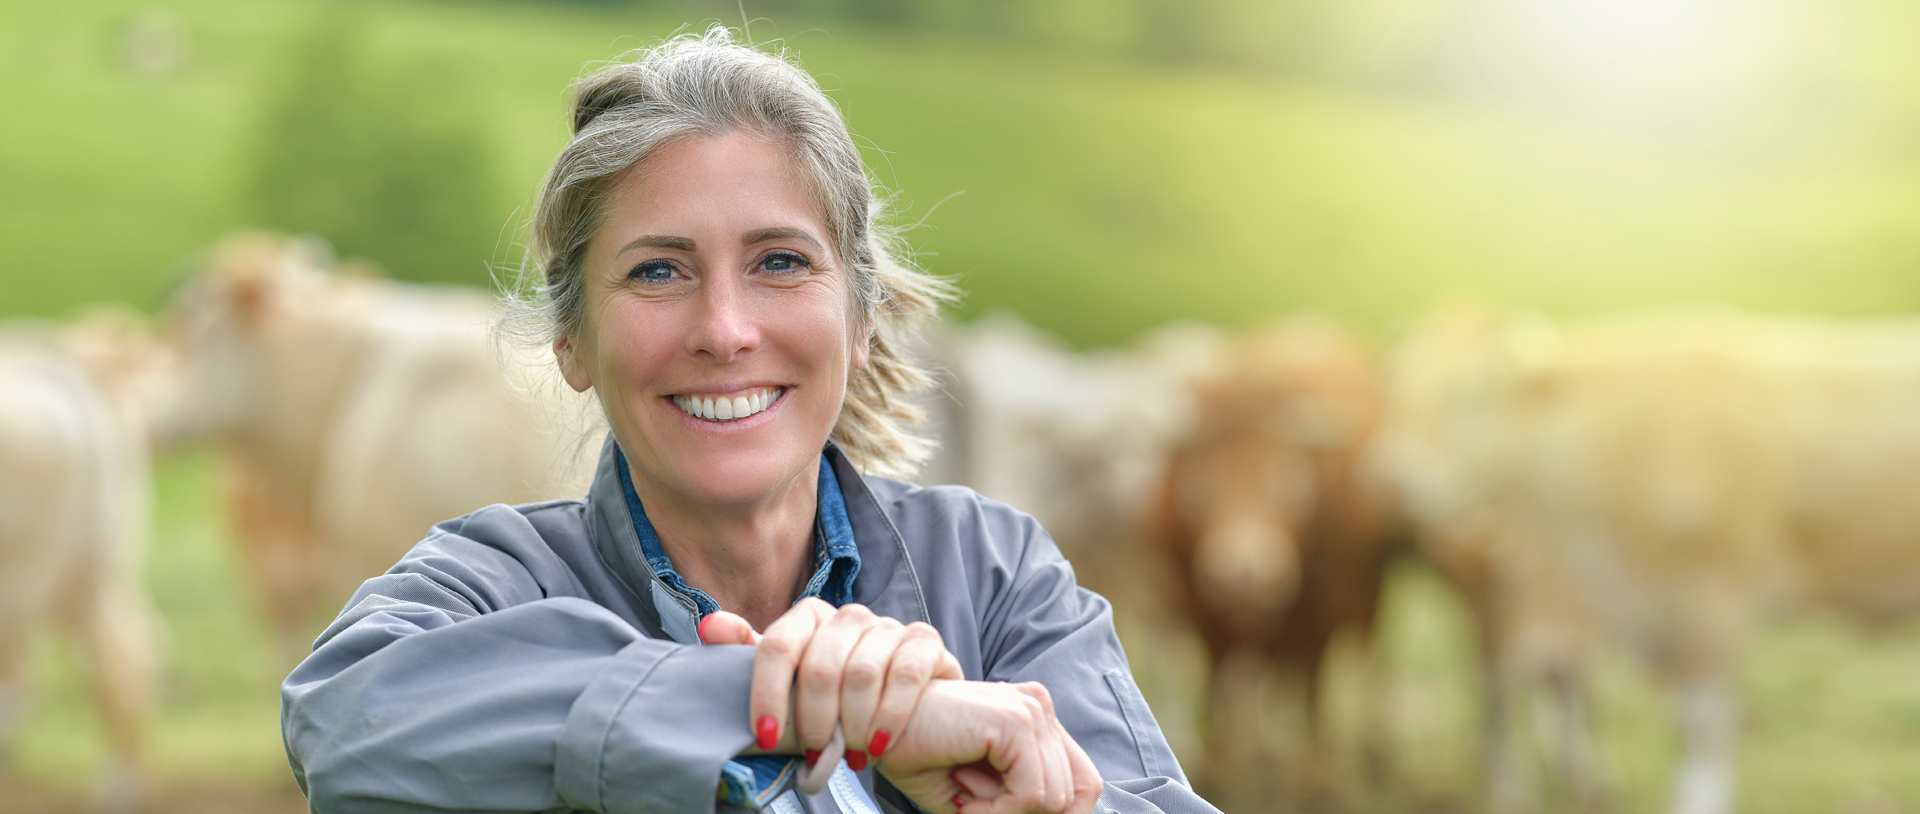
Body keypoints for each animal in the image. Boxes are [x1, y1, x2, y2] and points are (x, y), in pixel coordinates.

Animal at [1145, 317, 1401, 810]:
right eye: (1201, 484)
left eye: (1289, 486)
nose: (1245, 576)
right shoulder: (1195, 606)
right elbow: (1215, 687)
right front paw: (1216, 769)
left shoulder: (1323, 613)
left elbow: (1310, 695)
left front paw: (1318, 778)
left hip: (1371, 593)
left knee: (1364, 656)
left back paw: (1372, 752)